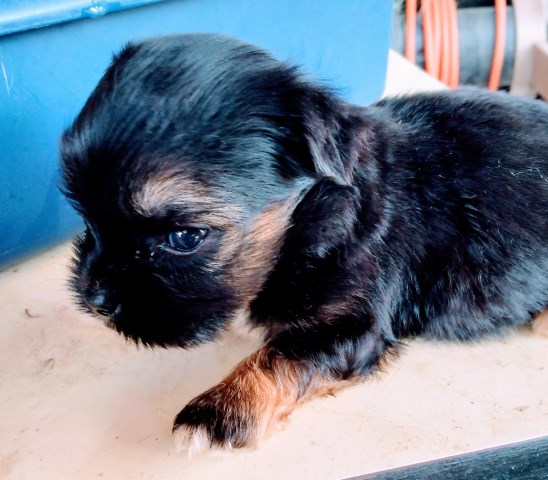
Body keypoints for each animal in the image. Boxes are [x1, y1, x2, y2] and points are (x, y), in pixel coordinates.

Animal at [60, 33, 548, 454]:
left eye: (185, 237)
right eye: (85, 215)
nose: (94, 298)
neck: (307, 221)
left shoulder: (353, 323)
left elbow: (281, 355)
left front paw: (216, 412)